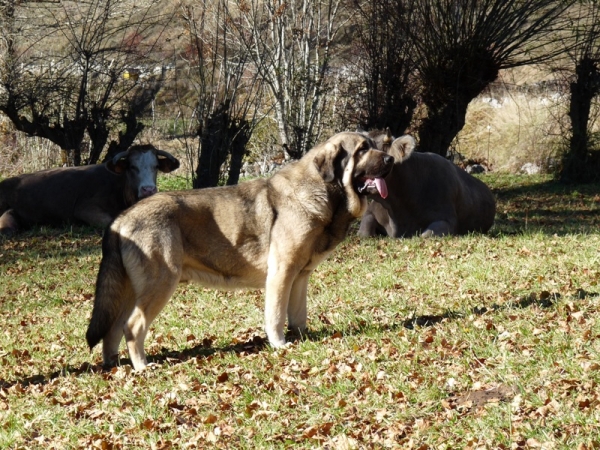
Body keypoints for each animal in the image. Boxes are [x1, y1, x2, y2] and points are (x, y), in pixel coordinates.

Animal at [85, 132, 394, 370]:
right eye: (363, 149)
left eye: (375, 145)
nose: (391, 160)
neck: (323, 191)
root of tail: (120, 220)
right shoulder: (281, 273)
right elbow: (276, 315)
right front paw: (279, 344)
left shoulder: (299, 277)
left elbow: (298, 315)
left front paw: (302, 338)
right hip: (158, 285)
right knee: (133, 326)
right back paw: (141, 366)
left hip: (129, 291)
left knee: (113, 329)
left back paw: (114, 363)